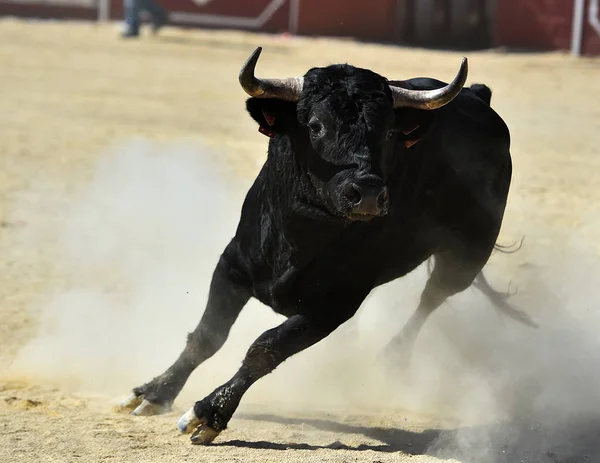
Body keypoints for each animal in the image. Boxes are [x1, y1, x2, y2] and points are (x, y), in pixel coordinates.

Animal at [117, 47, 536, 446]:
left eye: (388, 133)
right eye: (316, 126)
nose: (368, 193)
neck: (300, 235)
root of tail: (477, 96)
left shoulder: (334, 306)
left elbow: (264, 348)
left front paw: (208, 413)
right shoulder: (232, 264)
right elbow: (207, 336)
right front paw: (153, 393)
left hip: (466, 256)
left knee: (431, 298)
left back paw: (394, 358)